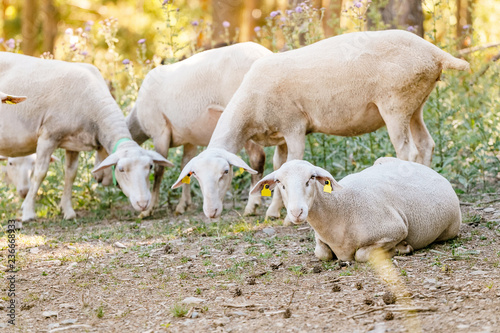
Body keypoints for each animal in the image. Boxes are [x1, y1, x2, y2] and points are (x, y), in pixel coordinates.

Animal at [0, 52, 173, 226]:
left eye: (150, 166)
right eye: (121, 169)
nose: (143, 203)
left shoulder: (73, 142)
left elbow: (71, 174)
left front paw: (68, 211)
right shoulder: (48, 135)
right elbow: (40, 174)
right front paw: (28, 212)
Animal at [127, 41, 272, 217]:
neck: (138, 120)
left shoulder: (159, 131)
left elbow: (159, 170)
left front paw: (149, 209)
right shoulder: (190, 138)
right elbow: (185, 166)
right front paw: (183, 205)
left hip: (245, 115)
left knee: (257, 158)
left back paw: (252, 206)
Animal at [172, 29, 468, 220]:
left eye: (225, 172)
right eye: (194, 177)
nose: (211, 212)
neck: (249, 108)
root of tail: (434, 53)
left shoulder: (294, 127)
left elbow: (291, 162)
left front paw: (281, 214)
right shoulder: (279, 134)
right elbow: (278, 167)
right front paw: (273, 211)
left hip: (395, 104)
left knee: (408, 152)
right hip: (416, 104)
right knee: (426, 145)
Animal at [250, 158, 460, 262]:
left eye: (311, 177)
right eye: (279, 182)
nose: (296, 212)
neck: (340, 210)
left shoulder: (396, 229)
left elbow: (361, 255)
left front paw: (400, 249)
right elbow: (322, 253)